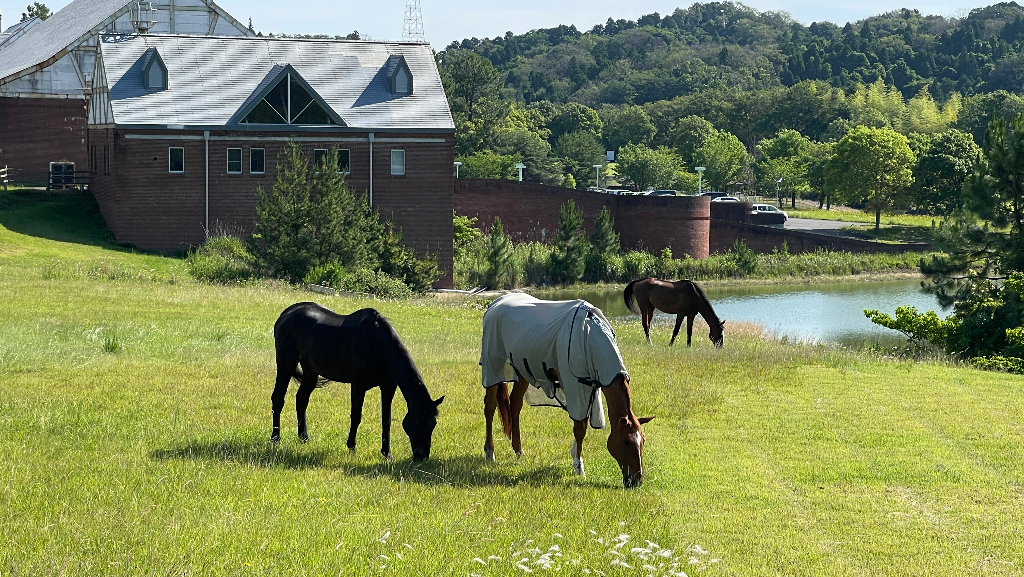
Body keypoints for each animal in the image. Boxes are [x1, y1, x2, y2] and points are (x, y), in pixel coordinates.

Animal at [270, 303, 442, 461]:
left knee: (302, 399)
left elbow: (386, 420)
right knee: (278, 399)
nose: (421, 457)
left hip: (311, 371)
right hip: (286, 363)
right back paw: (275, 438)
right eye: (419, 423)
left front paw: (387, 454)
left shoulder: (388, 386)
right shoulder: (358, 386)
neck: (377, 345)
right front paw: (351, 447)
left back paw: (304, 437)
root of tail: (286, 314)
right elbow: (356, 416)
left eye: (433, 424)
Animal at [477, 293, 651, 487]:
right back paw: (490, 452)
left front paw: (575, 455)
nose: (637, 480)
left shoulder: (590, 387)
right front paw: (579, 467)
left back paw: (518, 451)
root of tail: (495, 304)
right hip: (494, 368)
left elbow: (583, 423)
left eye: (643, 441)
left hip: (522, 370)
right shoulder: (575, 386)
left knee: (515, 404)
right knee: (490, 407)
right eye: (626, 442)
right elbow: (580, 427)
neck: (589, 335)